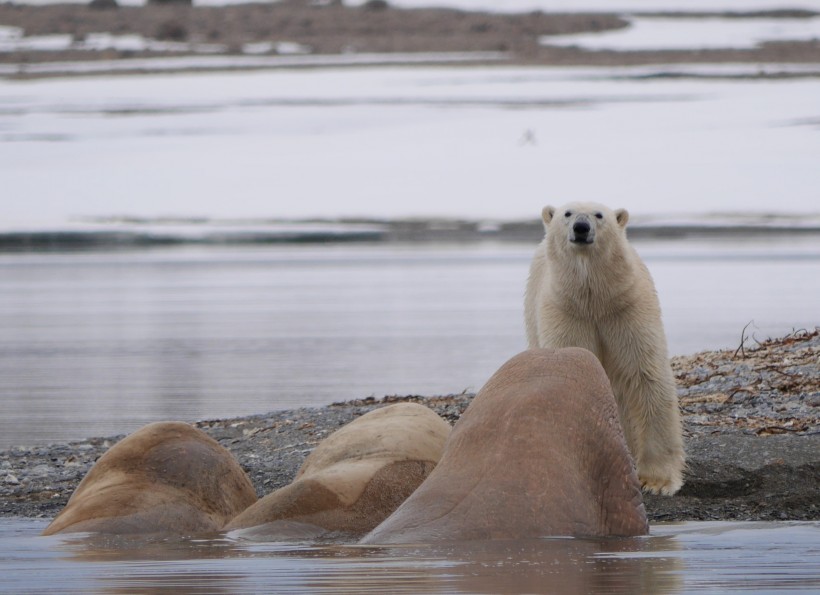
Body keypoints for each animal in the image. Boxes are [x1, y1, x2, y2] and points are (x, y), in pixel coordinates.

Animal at [524, 201, 685, 495]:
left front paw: (657, 481)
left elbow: (645, 375)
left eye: (599, 215)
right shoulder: (567, 313)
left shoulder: (627, 310)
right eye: (567, 213)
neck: (595, 300)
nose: (581, 227)